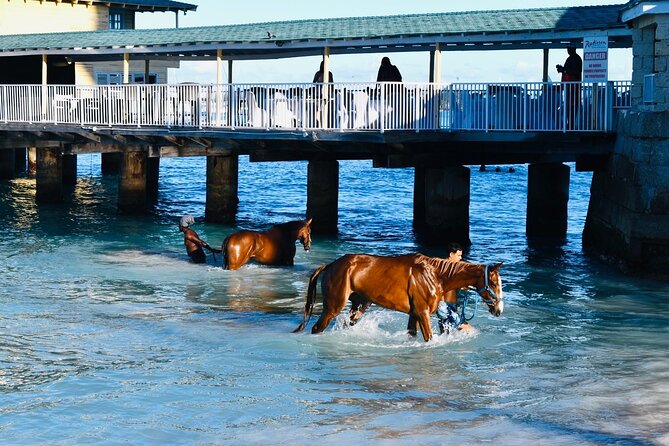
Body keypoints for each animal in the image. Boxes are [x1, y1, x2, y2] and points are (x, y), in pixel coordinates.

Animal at [292, 253, 503, 342]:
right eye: (493, 283)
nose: (498, 309)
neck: (435, 275)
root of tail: (330, 265)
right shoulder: (422, 313)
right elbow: (429, 338)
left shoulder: (414, 314)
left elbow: (413, 334)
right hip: (333, 307)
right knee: (317, 328)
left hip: (360, 305)